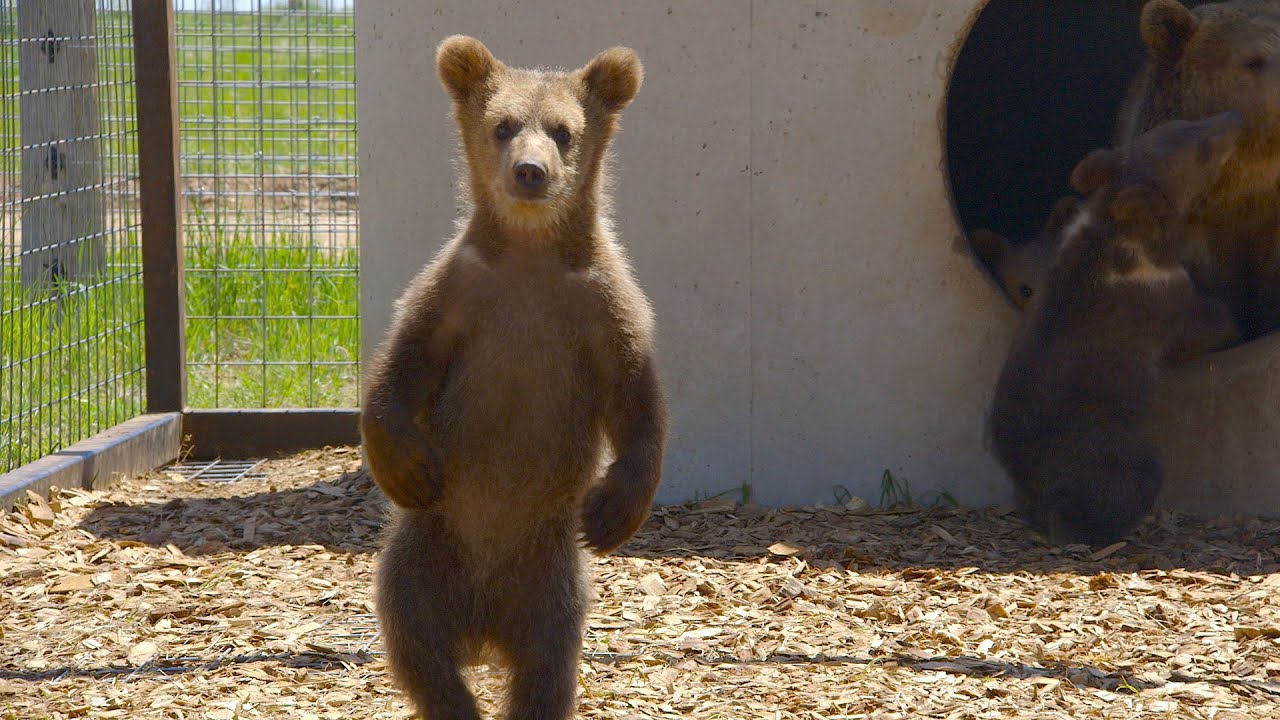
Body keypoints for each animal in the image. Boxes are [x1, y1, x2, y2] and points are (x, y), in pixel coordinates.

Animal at [360, 36, 668, 720]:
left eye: (563, 130)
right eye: (502, 125)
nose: (531, 171)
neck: (530, 258)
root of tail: (483, 621)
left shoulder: (600, 306)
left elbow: (636, 398)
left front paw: (615, 508)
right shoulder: (458, 294)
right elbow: (400, 368)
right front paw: (408, 467)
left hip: (550, 583)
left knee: (545, 669)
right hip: (427, 555)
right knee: (416, 643)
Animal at [989, 111, 1244, 546]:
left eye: (1188, 122)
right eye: (1203, 152)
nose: (1234, 118)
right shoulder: (1159, 296)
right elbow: (1207, 322)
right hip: (1100, 447)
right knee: (1130, 483)